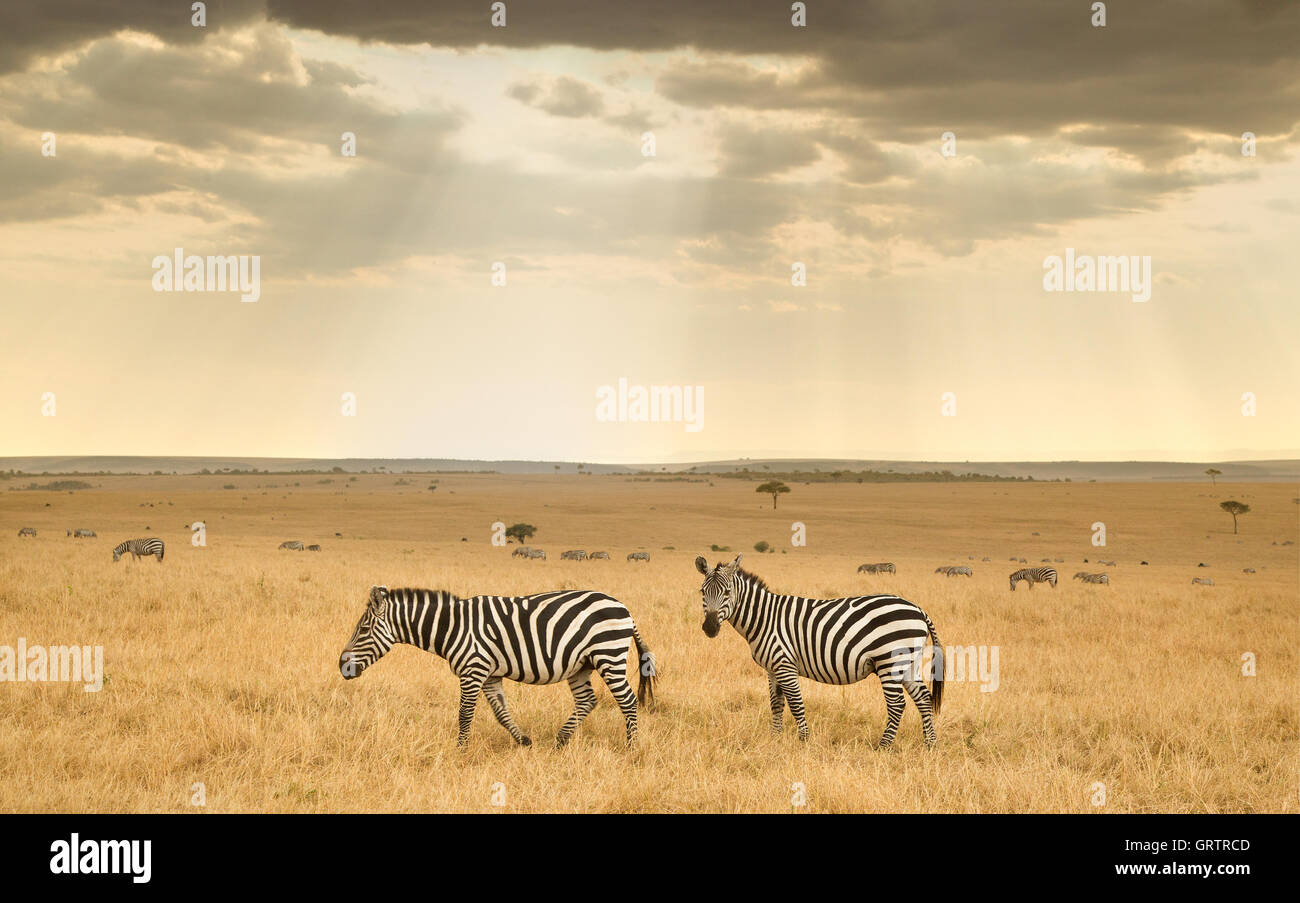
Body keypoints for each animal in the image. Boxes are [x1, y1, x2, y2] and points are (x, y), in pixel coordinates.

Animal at [339, 585, 657, 748]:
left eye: (363, 629)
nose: (342, 666)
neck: (453, 627)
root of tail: (624, 607)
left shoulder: (473, 670)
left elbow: (464, 714)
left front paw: (461, 750)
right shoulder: (490, 675)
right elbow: (501, 713)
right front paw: (524, 741)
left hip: (608, 655)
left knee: (627, 701)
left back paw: (632, 748)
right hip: (581, 665)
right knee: (587, 701)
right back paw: (560, 741)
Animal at [695, 555, 943, 748]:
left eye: (727, 592)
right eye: (702, 591)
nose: (709, 628)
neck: (764, 618)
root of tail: (918, 609)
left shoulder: (784, 664)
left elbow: (795, 703)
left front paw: (804, 740)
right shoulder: (772, 668)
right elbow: (776, 704)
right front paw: (775, 738)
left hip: (890, 662)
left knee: (897, 704)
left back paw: (883, 747)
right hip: (908, 663)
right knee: (923, 698)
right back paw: (930, 744)